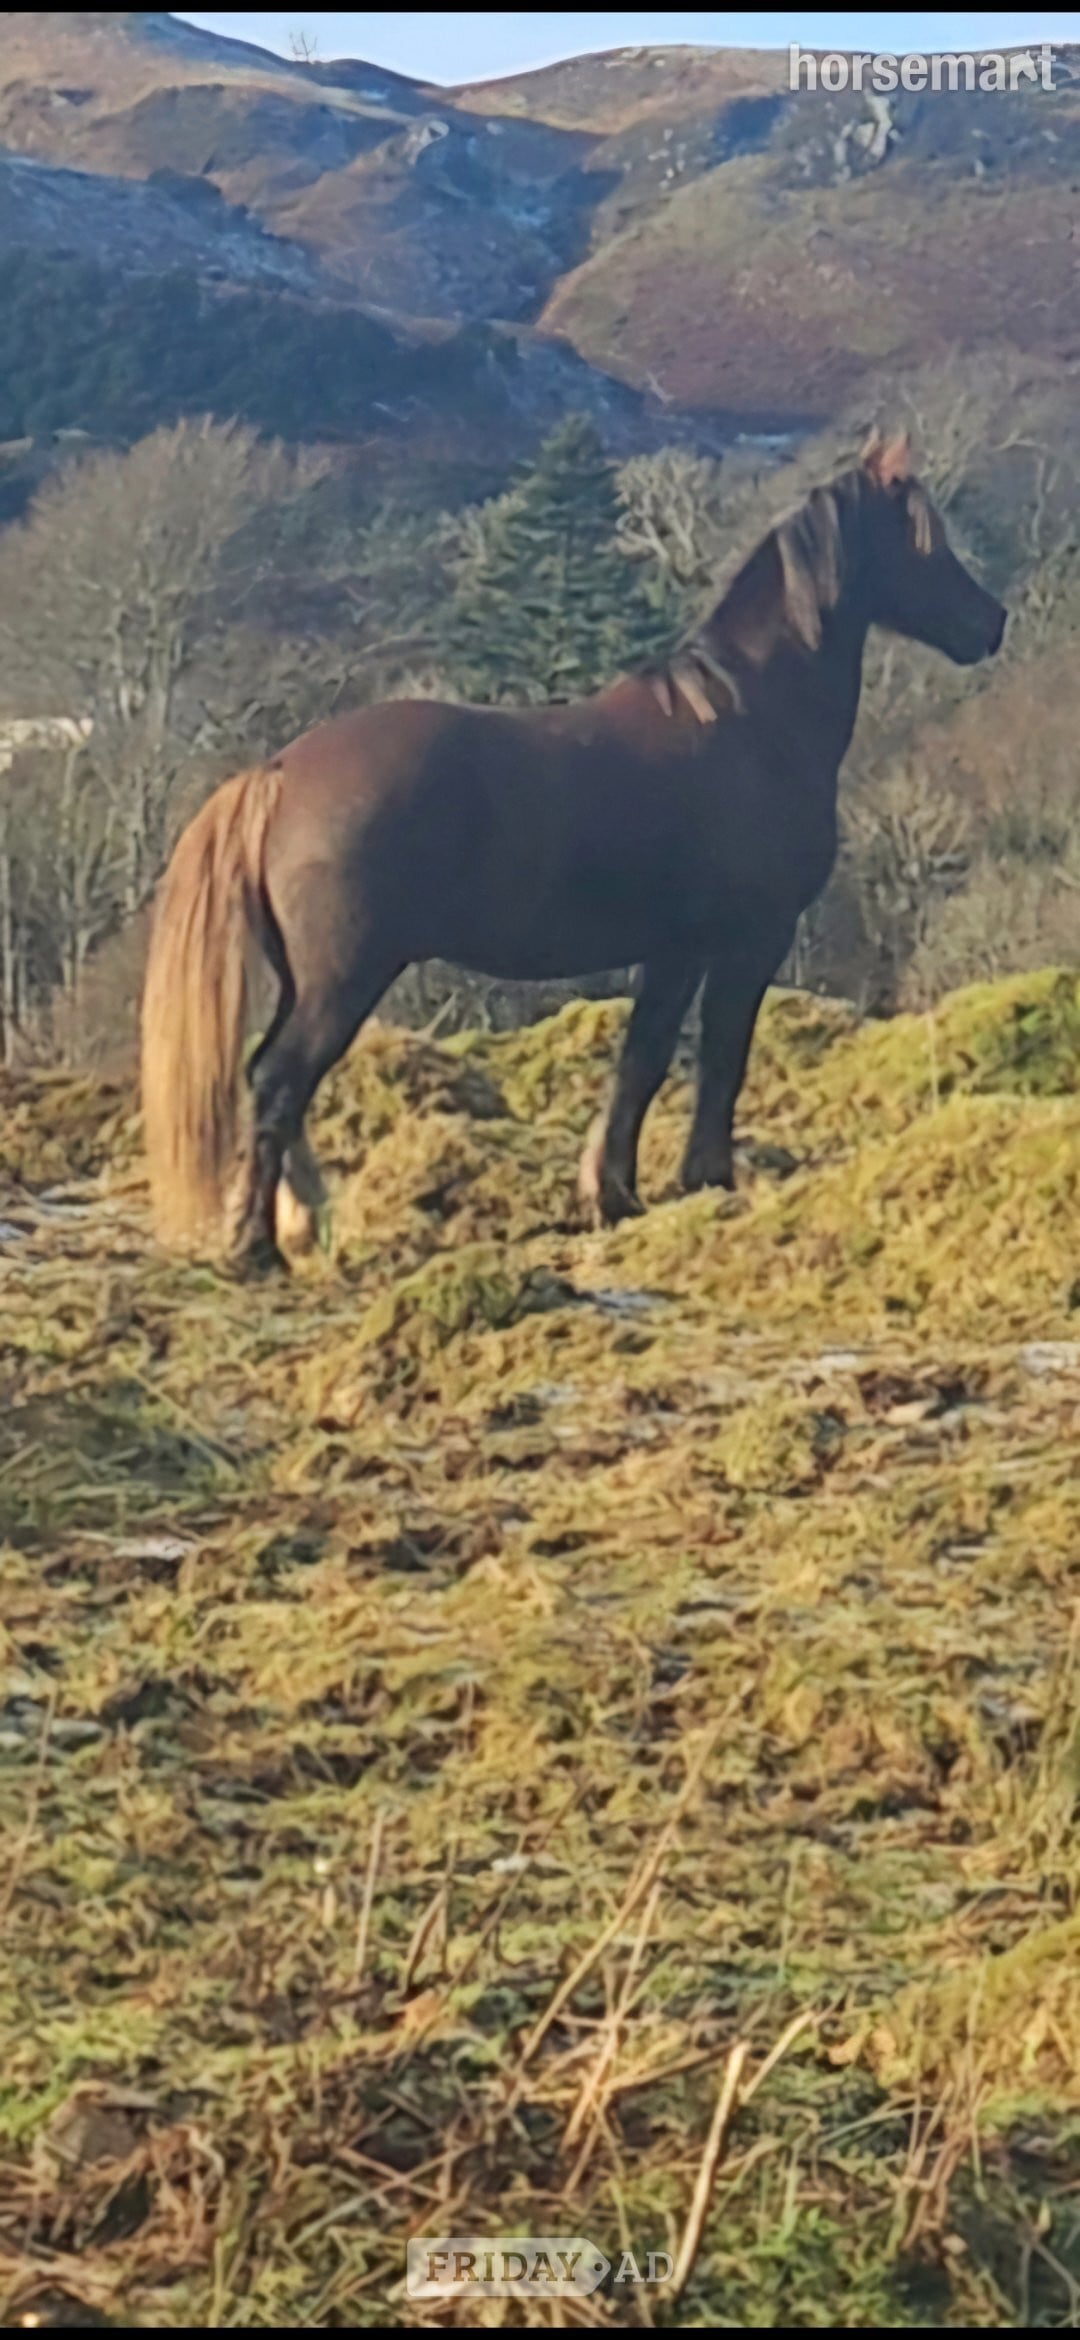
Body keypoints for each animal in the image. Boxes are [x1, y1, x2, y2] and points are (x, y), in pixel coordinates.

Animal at [140, 430, 1006, 1271]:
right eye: (922, 539)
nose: (990, 621)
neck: (752, 723)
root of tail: (277, 773)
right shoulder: (746, 939)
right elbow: (718, 1058)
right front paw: (702, 1180)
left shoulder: (675, 948)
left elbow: (642, 1060)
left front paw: (613, 1194)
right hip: (343, 978)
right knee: (279, 1081)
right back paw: (255, 1248)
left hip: (306, 979)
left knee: (271, 1081)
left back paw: (301, 1226)